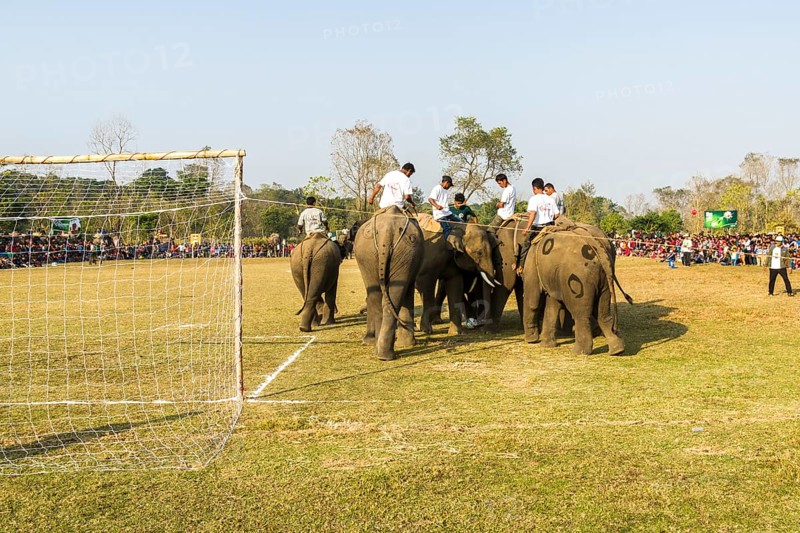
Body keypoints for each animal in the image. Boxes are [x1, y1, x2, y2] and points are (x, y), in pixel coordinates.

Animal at [354, 206, 424, 361]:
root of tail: (387, 230)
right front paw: (407, 344)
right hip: (386, 252)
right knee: (383, 297)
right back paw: (383, 353)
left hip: (397, 254)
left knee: (379, 298)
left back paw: (382, 354)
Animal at [521, 217, 631, 355]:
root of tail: (598, 246)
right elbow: (553, 304)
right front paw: (546, 345)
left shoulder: (532, 262)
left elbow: (532, 301)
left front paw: (532, 340)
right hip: (605, 279)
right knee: (603, 312)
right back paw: (617, 350)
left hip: (579, 278)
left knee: (580, 312)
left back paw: (579, 352)